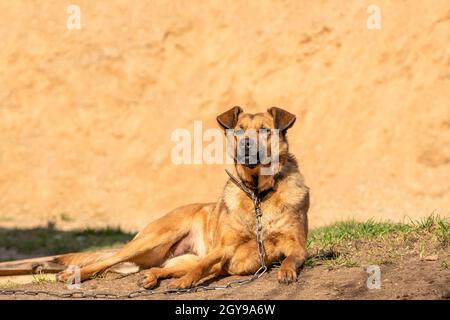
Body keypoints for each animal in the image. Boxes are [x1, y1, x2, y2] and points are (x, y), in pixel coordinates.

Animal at [55, 107, 310, 288]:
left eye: (264, 130)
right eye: (239, 130)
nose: (246, 146)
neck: (257, 194)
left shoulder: (297, 245)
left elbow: (291, 258)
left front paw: (286, 271)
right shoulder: (222, 248)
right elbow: (202, 266)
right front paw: (185, 283)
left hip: (182, 258)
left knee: (163, 268)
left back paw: (151, 277)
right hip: (154, 238)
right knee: (107, 260)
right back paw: (73, 275)